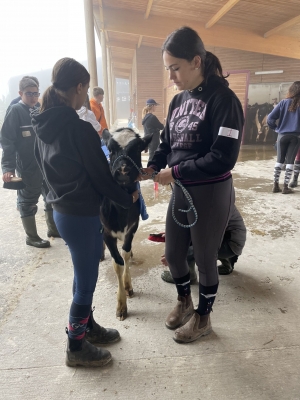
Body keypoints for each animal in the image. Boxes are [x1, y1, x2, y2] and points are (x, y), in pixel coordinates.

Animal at [101, 130, 152, 320]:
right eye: (111, 149)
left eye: (137, 149)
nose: (123, 170)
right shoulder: (106, 232)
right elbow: (117, 263)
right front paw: (121, 305)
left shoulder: (132, 227)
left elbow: (126, 253)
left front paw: (128, 285)